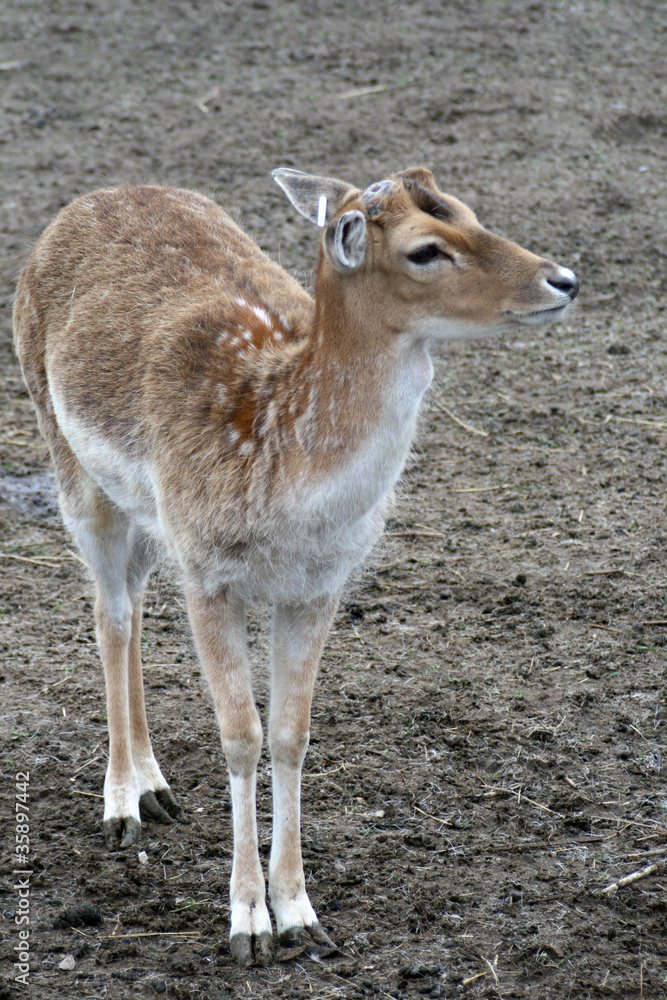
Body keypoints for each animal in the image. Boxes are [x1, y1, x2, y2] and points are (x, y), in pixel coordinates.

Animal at [13, 166, 578, 965]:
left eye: (470, 211)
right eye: (425, 249)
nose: (563, 279)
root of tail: (86, 201)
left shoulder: (318, 586)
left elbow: (289, 733)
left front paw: (301, 913)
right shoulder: (210, 574)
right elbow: (240, 736)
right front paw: (247, 922)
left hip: (152, 518)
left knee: (134, 600)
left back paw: (156, 785)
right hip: (69, 459)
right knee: (109, 611)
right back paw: (122, 801)